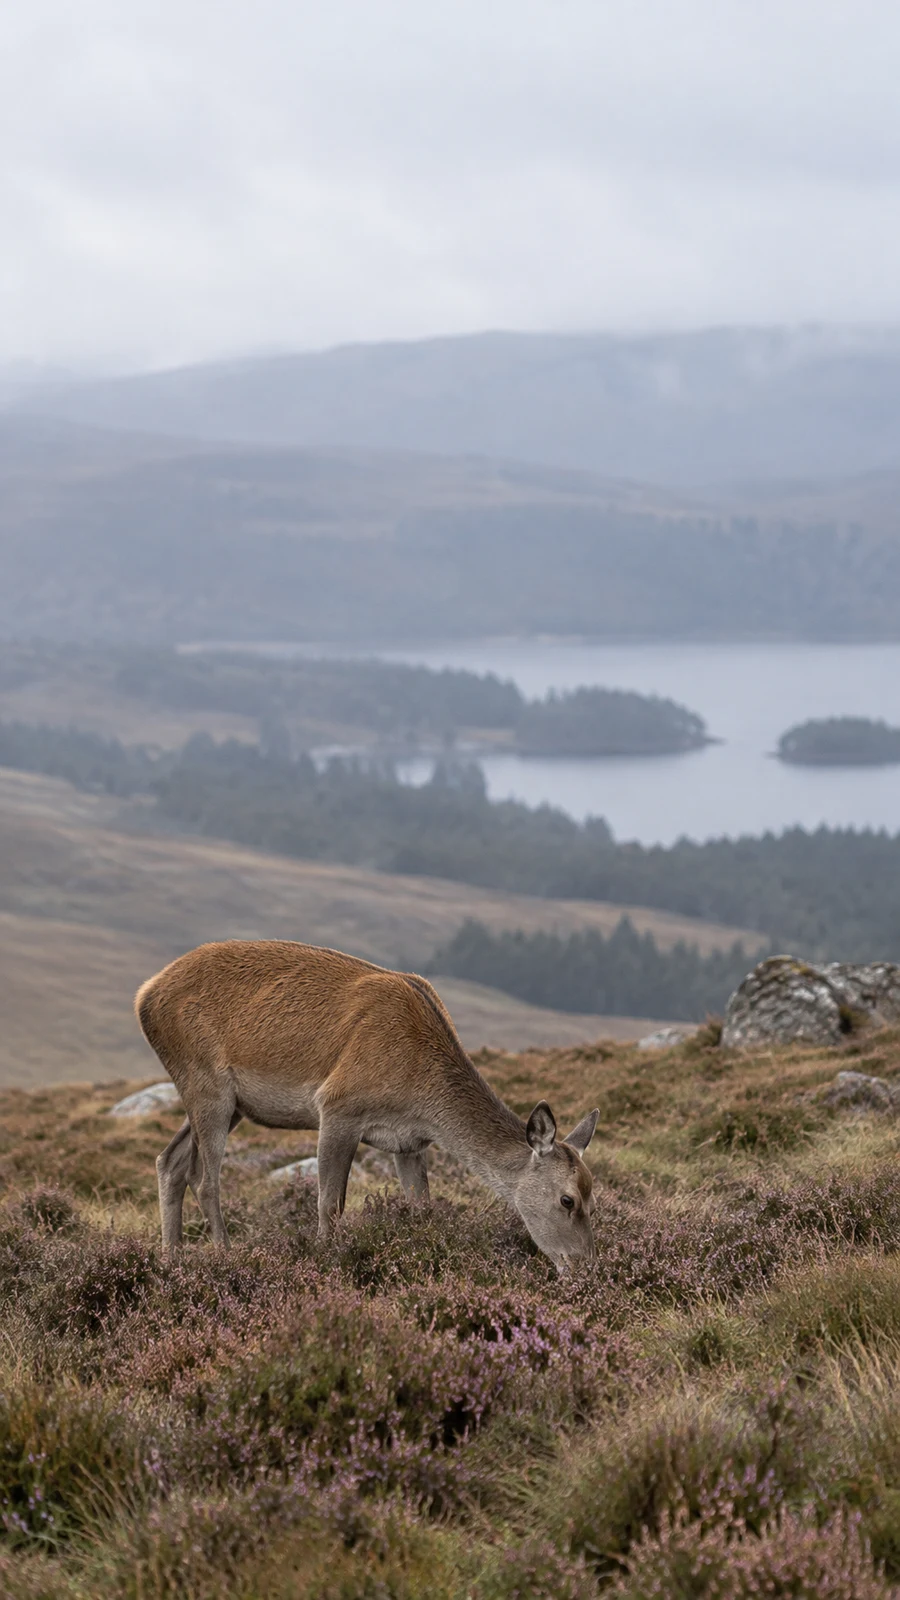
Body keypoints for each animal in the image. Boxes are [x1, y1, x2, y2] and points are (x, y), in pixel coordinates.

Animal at [135, 940, 599, 1273]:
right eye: (567, 1200)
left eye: (595, 1195)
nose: (586, 1268)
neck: (420, 1093)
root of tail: (145, 996)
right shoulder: (338, 1107)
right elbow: (329, 1204)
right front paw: (326, 1261)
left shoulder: (410, 1143)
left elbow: (421, 1206)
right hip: (206, 1082)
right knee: (204, 1177)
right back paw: (225, 1257)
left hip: (226, 1102)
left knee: (170, 1160)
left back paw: (171, 1262)